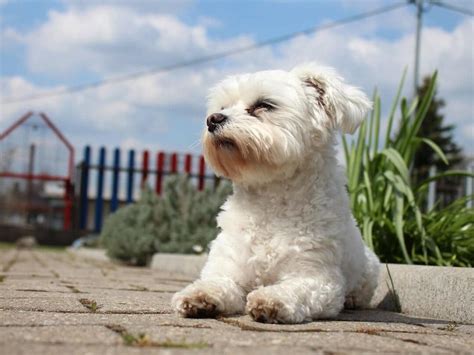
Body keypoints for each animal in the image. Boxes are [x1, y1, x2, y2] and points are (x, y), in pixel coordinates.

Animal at [172, 62, 380, 324]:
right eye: (222, 107)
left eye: (264, 105)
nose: (213, 119)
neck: (269, 203)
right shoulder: (229, 266)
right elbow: (217, 282)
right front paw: (199, 295)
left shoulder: (318, 278)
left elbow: (295, 289)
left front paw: (271, 299)